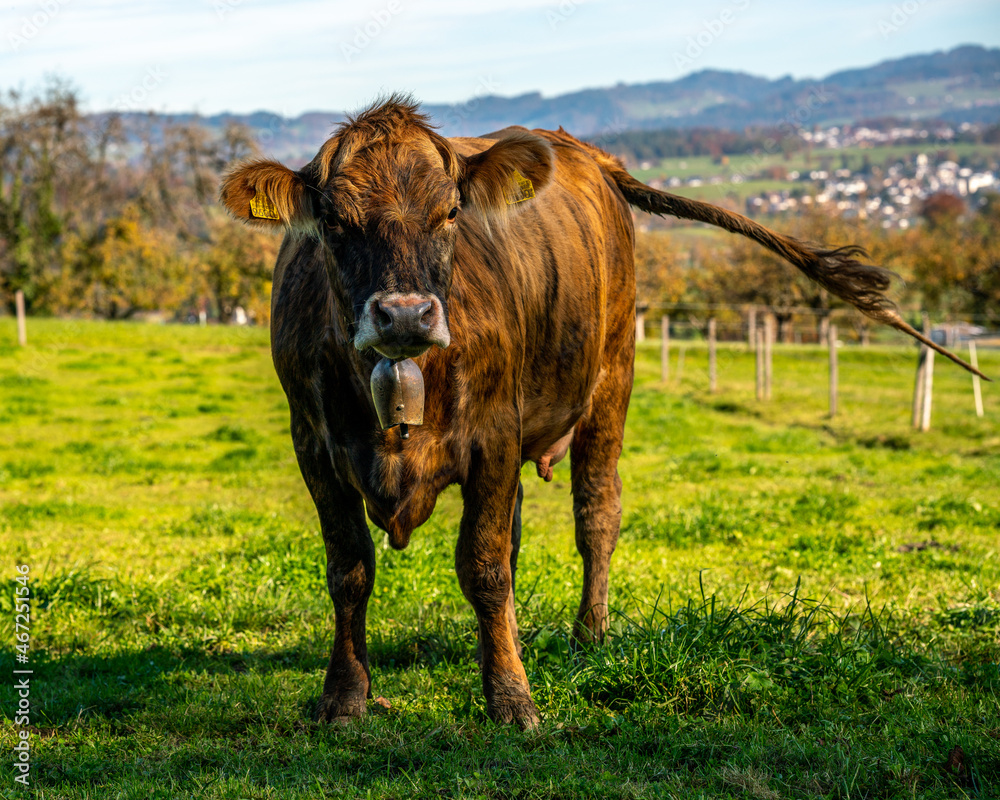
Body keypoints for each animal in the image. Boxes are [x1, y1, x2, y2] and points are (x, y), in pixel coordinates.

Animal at [220, 95, 983, 729]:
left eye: (450, 214)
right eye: (333, 222)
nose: (405, 313)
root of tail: (582, 149)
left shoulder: (492, 438)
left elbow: (484, 568)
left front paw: (511, 700)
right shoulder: (315, 447)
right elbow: (351, 568)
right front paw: (345, 697)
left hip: (613, 376)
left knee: (596, 514)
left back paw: (589, 635)